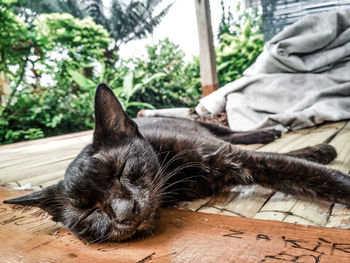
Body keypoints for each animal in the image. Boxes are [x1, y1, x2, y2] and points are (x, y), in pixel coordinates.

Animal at [3, 84, 350, 243]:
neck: (174, 178)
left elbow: (304, 173)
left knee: (237, 133)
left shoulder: (231, 156)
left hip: (212, 130)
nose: (125, 212)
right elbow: (289, 166)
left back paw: (278, 133)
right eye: (91, 212)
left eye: (123, 170)